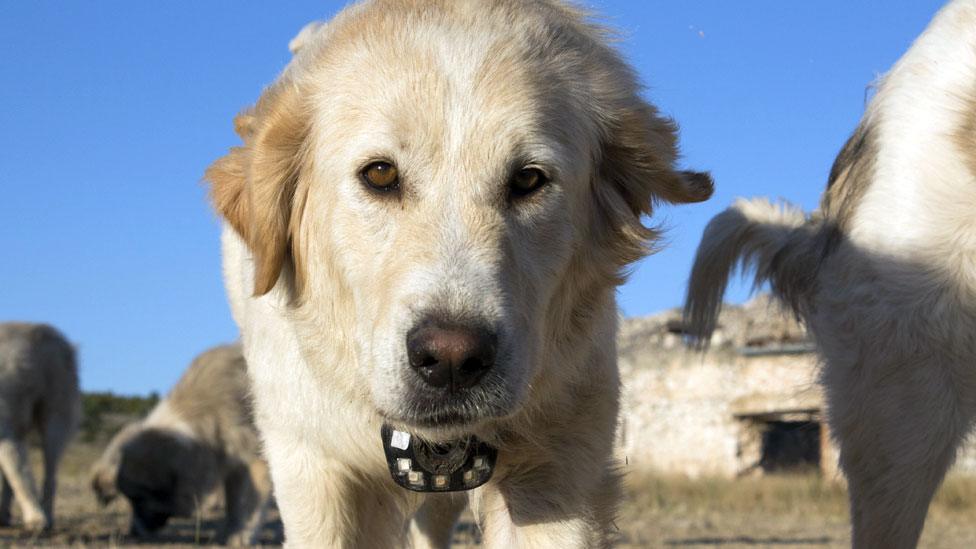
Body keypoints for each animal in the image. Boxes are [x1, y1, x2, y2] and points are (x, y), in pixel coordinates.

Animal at [91, 342, 270, 544]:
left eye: (138, 498)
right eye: (129, 499)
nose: (133, 532)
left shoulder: (253, 460)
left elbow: (246, 503)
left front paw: (238, 536)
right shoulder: (234, 463)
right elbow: (234, 504)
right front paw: (227, 533)